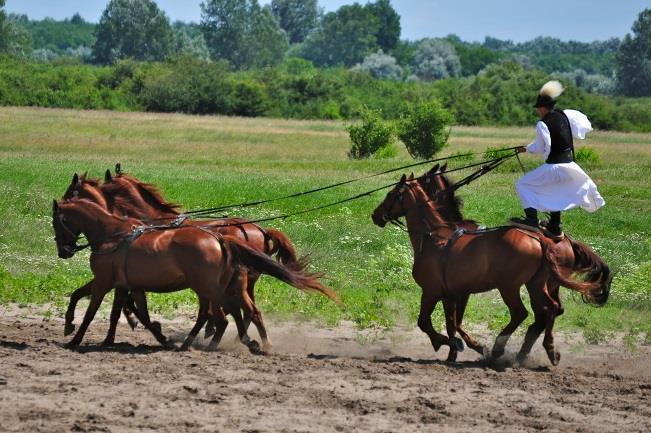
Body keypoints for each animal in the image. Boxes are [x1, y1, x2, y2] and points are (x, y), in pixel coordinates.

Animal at [52, 197, 338, 350]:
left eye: (56, 221)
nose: (63, 251)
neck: (113, 234)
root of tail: (222, 239)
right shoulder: (128, 284)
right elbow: (129, 312)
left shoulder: (104, 282)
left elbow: (92, 311)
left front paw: (75, 337)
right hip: (215, 288)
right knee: (237, 313)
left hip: (211, 288)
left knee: (225, 315)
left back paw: (233, 341)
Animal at [372, 174, 612, 362]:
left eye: (392, 194)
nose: (375, 215)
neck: (435, 238)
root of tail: (542, 239)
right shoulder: (453, 293)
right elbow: (453, 323)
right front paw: (456, 351)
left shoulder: (431, 291)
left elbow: (425, 322)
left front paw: (447, 343)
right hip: (539, 284)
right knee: (549, 310)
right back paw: (540, 352)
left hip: (509, 287)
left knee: (523, 313)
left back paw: (501, 349)